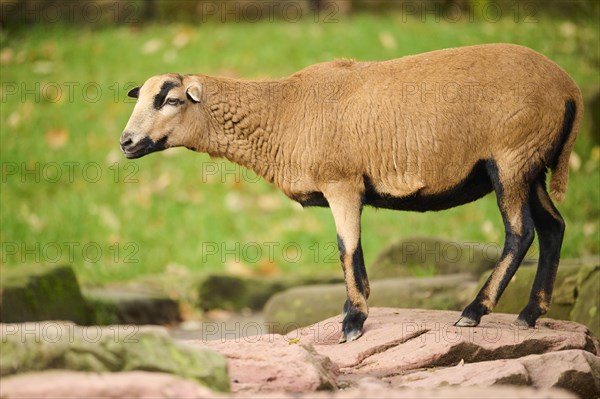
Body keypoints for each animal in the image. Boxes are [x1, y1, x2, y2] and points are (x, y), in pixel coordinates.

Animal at [120, 44, 580, 344]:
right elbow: (350, 251)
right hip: (532, 166)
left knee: (520, 234)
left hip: (511, 159)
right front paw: (356, 313)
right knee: (554, 227)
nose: (125, 143)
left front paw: (354, 321)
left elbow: (347, 249)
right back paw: (529, 314)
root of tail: (569, 88)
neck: (282, 112)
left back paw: (474, 313)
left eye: (170, 99)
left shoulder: (342, 183)